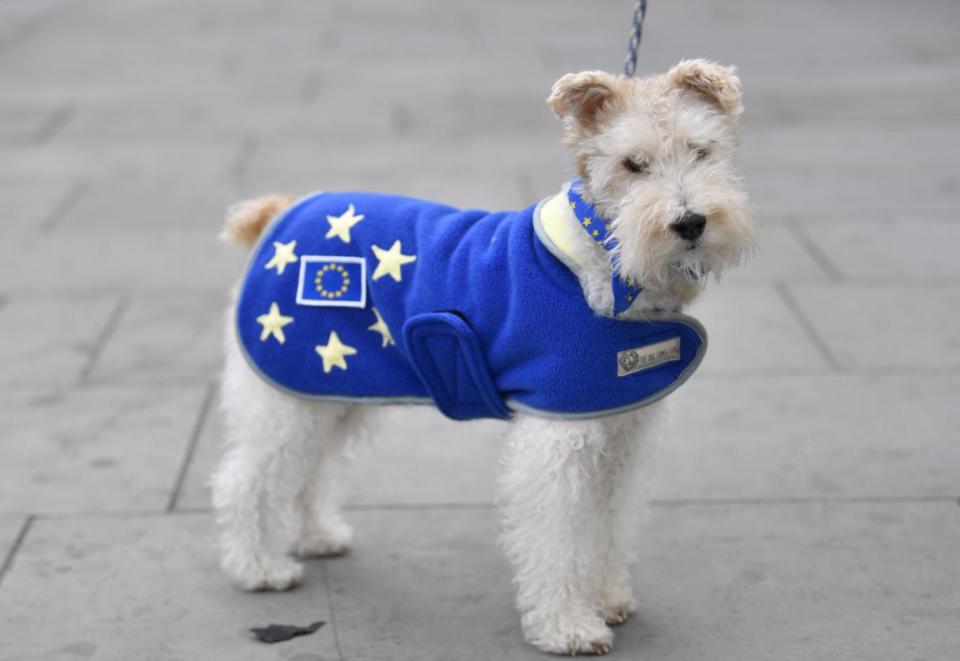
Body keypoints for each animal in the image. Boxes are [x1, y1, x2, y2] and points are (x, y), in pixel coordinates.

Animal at [214, 58, 752, 656]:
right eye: (632, 164)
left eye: (701, 150)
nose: (690, 223)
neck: (604, 260)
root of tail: (280, 212)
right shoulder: (557, 438)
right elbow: (558, 537)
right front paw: (567, 625)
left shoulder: (622, 432)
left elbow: (608, 523)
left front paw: (608, 597)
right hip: (286, 397)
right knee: (244, 480)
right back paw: (259, 568)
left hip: (332, 390)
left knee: (310, 471)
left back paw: (318, 537)